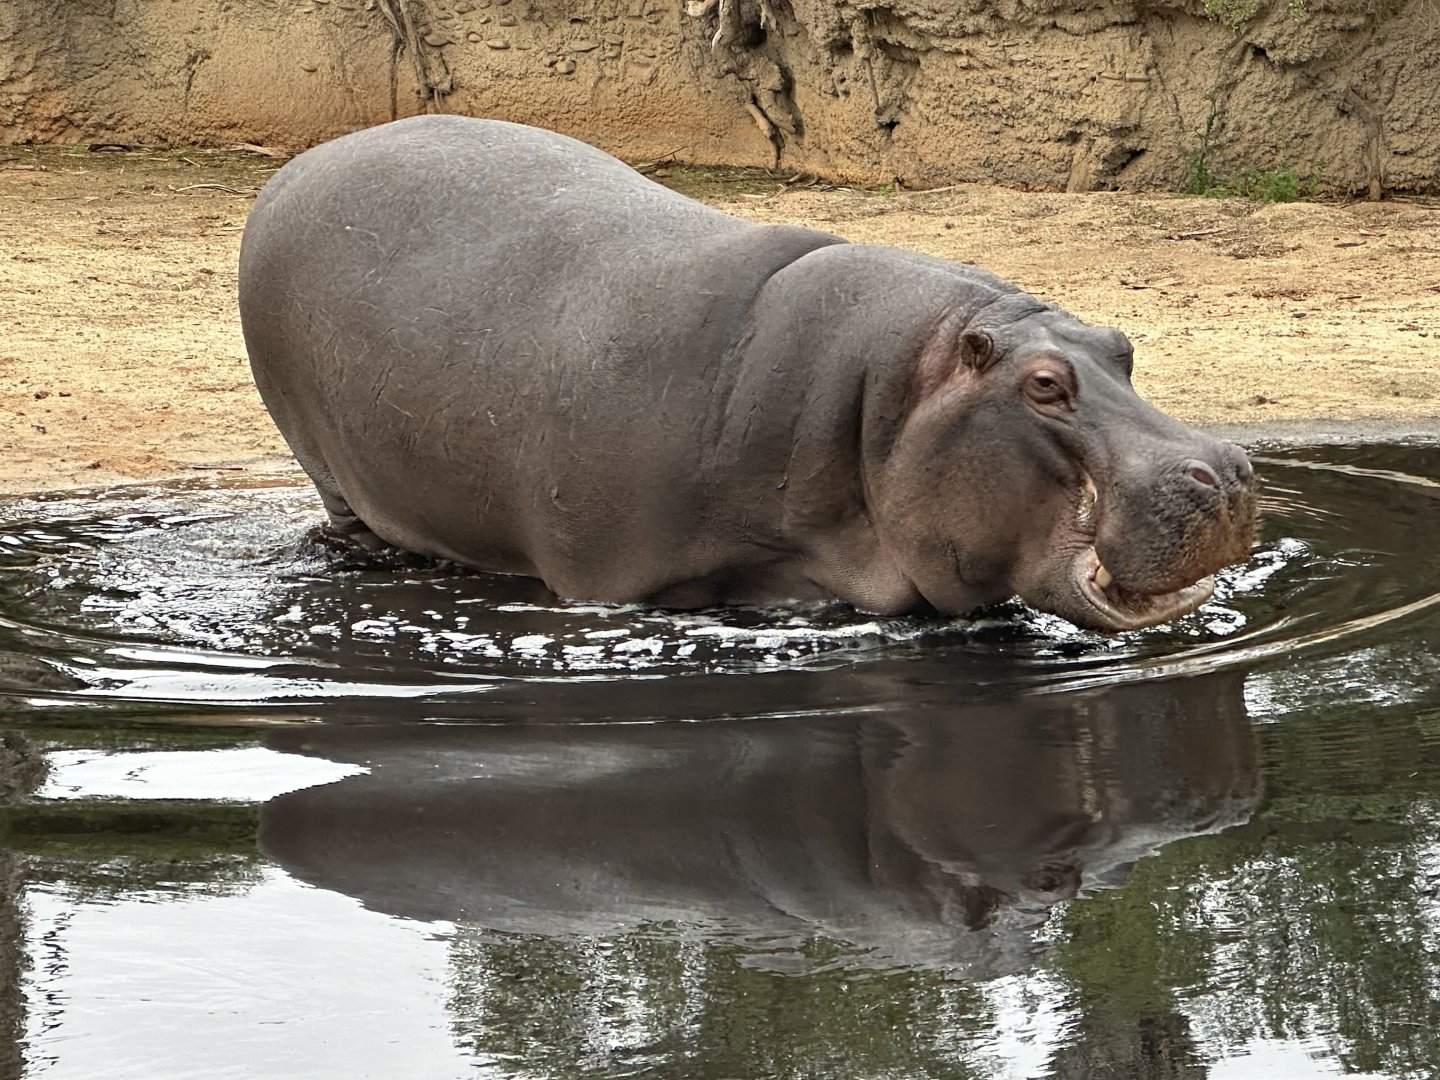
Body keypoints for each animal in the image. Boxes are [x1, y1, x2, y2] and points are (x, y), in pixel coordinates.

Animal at [239, 115, 1257, 631]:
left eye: (1123, 344)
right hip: (324, 460)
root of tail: (296, 166)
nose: (1230, 470)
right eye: (1044, 385)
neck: (887, 399)